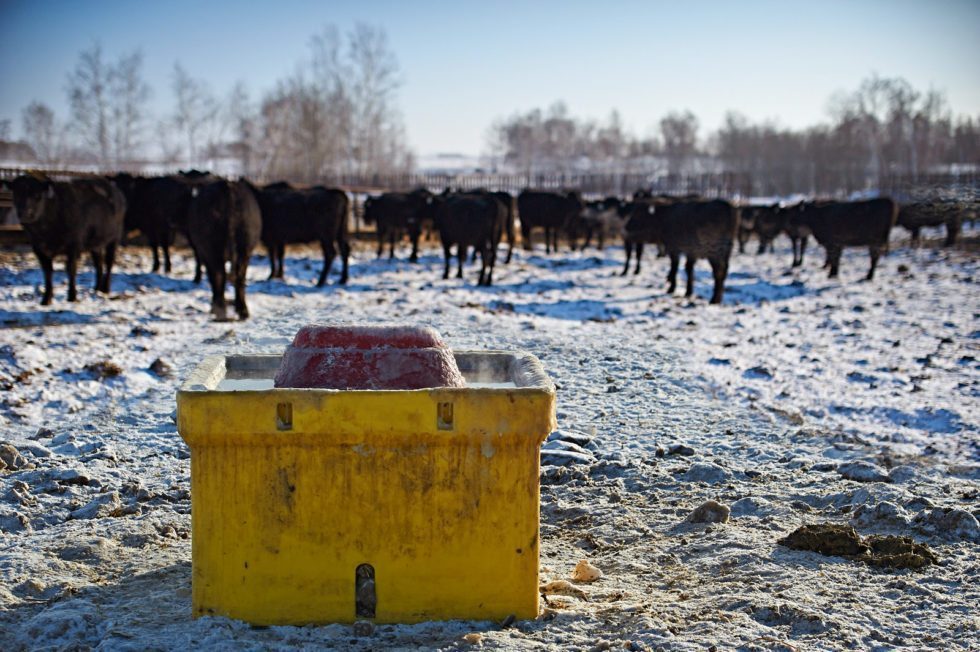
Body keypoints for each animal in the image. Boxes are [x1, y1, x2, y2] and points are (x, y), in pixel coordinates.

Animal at [5, 174, 125, 305]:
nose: (26, 214)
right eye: (16, 194)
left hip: (114, 238)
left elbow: (70, 269)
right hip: (95, 243)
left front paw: (72, 297)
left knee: (109, 262)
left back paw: (105, 289)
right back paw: (96, 289)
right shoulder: (38, 249)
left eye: (38, 196)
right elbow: (47, 272)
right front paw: (46, 299)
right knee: (98, 264)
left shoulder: (74, 246)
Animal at [186, 179, 261, 320]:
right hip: (245, 248)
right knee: (240, 277)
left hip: (212, 250)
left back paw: (219, 310)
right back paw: (242, 310)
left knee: (219, 275)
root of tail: (227, 187)